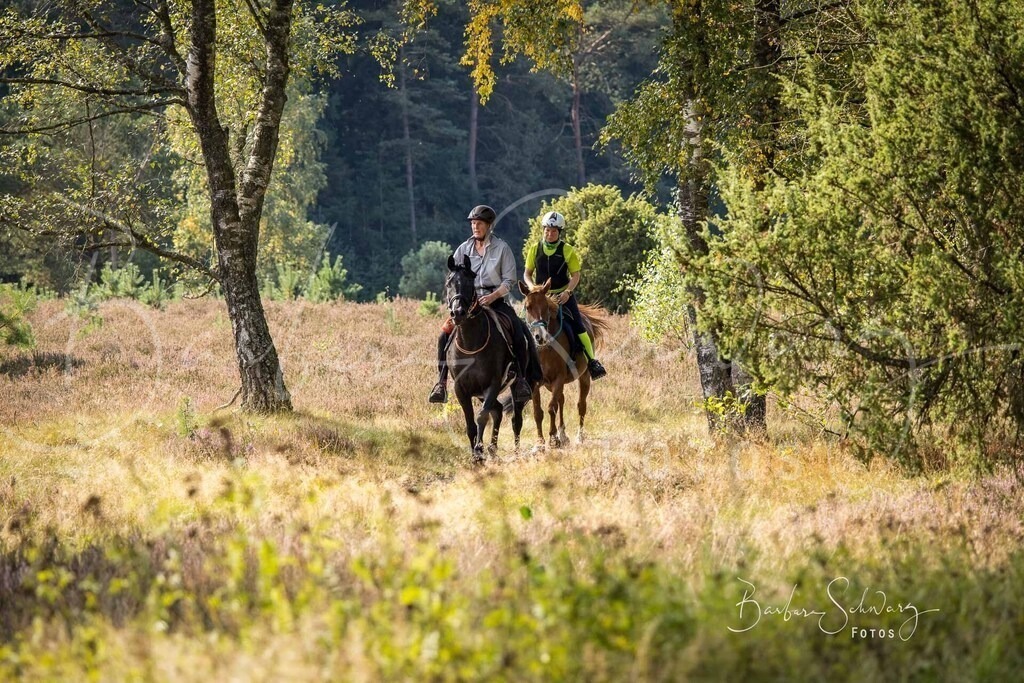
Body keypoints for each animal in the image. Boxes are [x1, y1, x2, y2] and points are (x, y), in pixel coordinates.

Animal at [444, 254, 526, 461]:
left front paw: (479, 452)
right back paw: (493, 449)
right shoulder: (461, 388)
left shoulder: (493, 383)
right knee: (498, 410)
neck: (471, 342)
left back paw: (515, 452)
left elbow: (482, 417)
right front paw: (476, 454)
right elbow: (471, 424)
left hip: (516, 386)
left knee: (516, 419)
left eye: (469, 283)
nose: (458, 312)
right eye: (449, 282)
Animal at [517, 279, 610, 448]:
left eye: (546, 307)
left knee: (581, 405)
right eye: (528, 307)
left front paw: (553, 438)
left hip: (584, 377)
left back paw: (579, 437)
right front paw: (540, 443)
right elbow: (538, 412)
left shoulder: (558, 379)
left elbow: (551, 408)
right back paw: (563, 435)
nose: (539, 336)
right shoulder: (536, 383)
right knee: (561, 399)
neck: (544, 349)